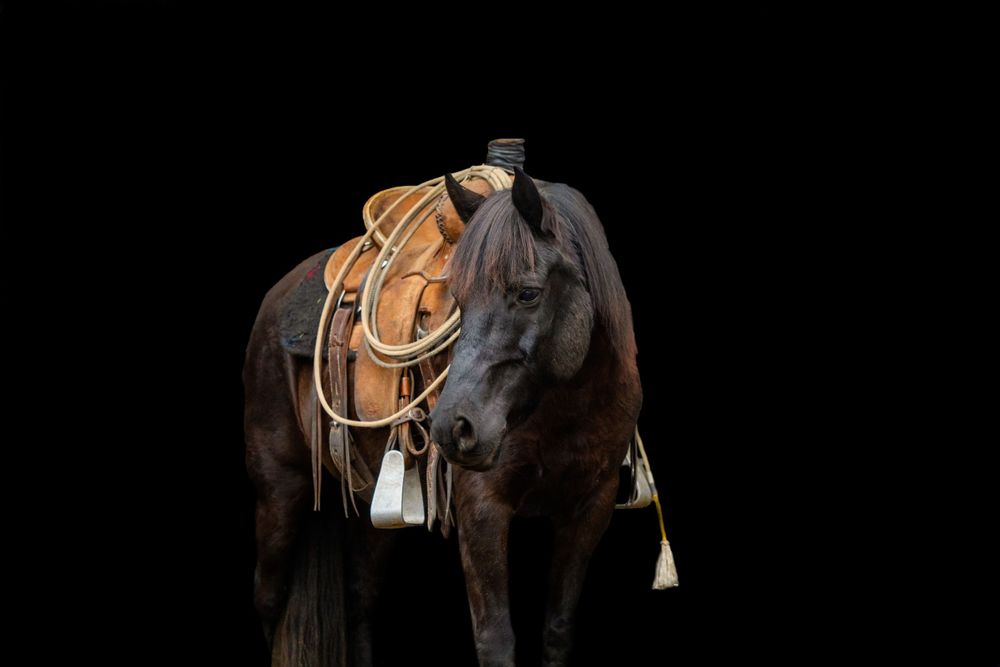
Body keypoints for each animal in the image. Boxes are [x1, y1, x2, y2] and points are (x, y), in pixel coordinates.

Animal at [244, 167, 642, 666]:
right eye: (460, 299)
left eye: (528, 293)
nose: (454, 428)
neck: (565, 410)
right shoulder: (482, 508)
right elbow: (495, 638)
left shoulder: (591, 508)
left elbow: (558, 630)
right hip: (280, 488)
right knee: (270, 600)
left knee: (360, 601)